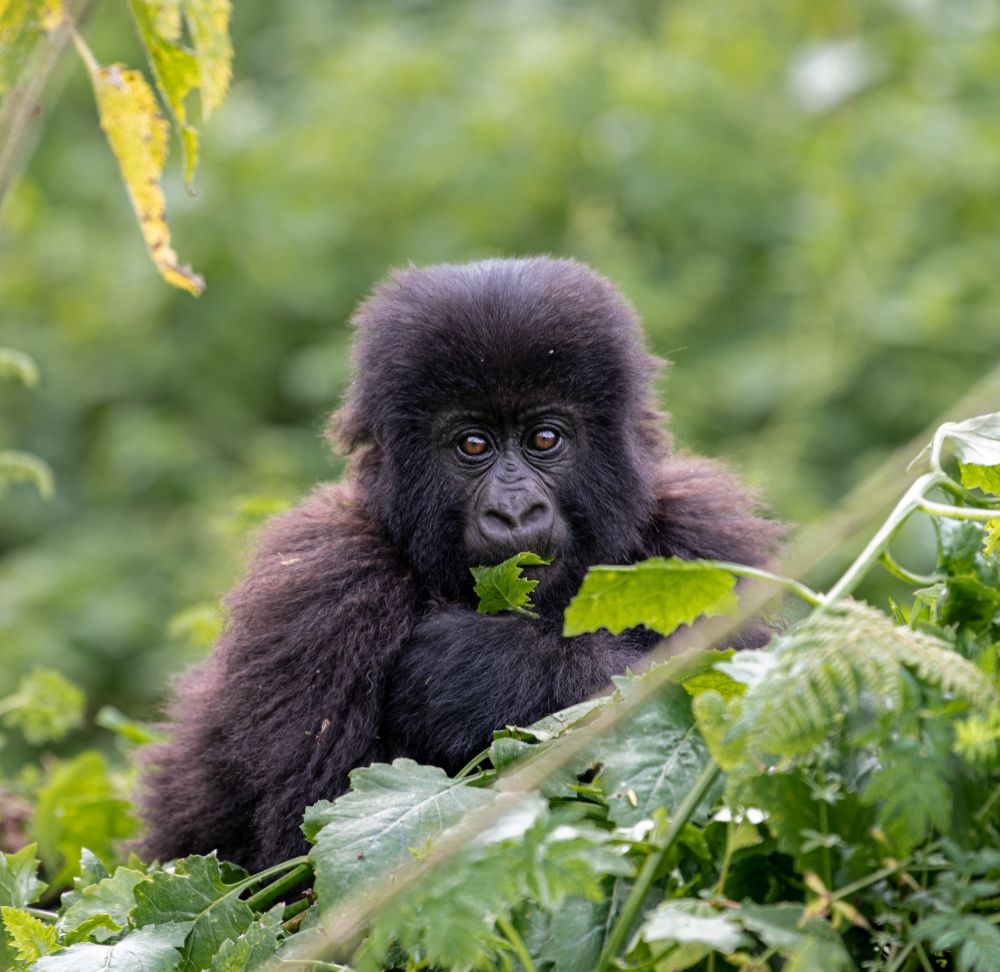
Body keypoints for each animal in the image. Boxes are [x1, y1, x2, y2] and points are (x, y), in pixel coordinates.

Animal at [139, 254, 780, 868]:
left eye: (543, 439)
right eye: (473, 445)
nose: (514, 511)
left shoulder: (707, 543)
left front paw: (480, 671)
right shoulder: (323, 586)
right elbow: (311, 840)